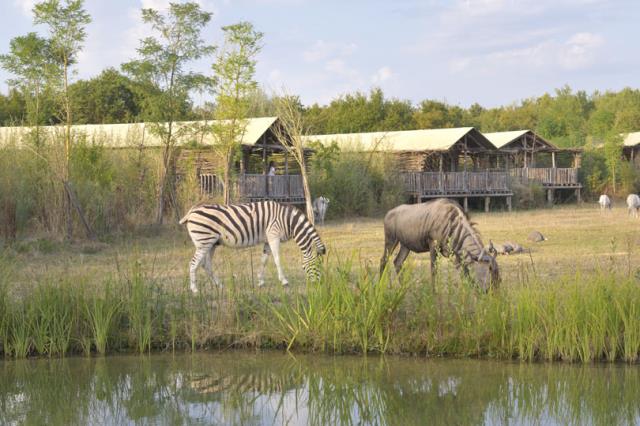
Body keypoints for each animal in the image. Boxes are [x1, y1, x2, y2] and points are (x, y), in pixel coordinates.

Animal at [182, 200, 328, 292]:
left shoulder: (268, 239)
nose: (320, 284)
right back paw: (194, 289)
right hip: (204, 242)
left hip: (211, 243)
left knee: (206, 265)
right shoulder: (273, 235)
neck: (288, 220)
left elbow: (264, 260)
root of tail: (192, 210)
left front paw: (260, 281)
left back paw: (220, 285)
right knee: (193, 263)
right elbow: (277, 259)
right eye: (317, 266)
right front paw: (284, 281)